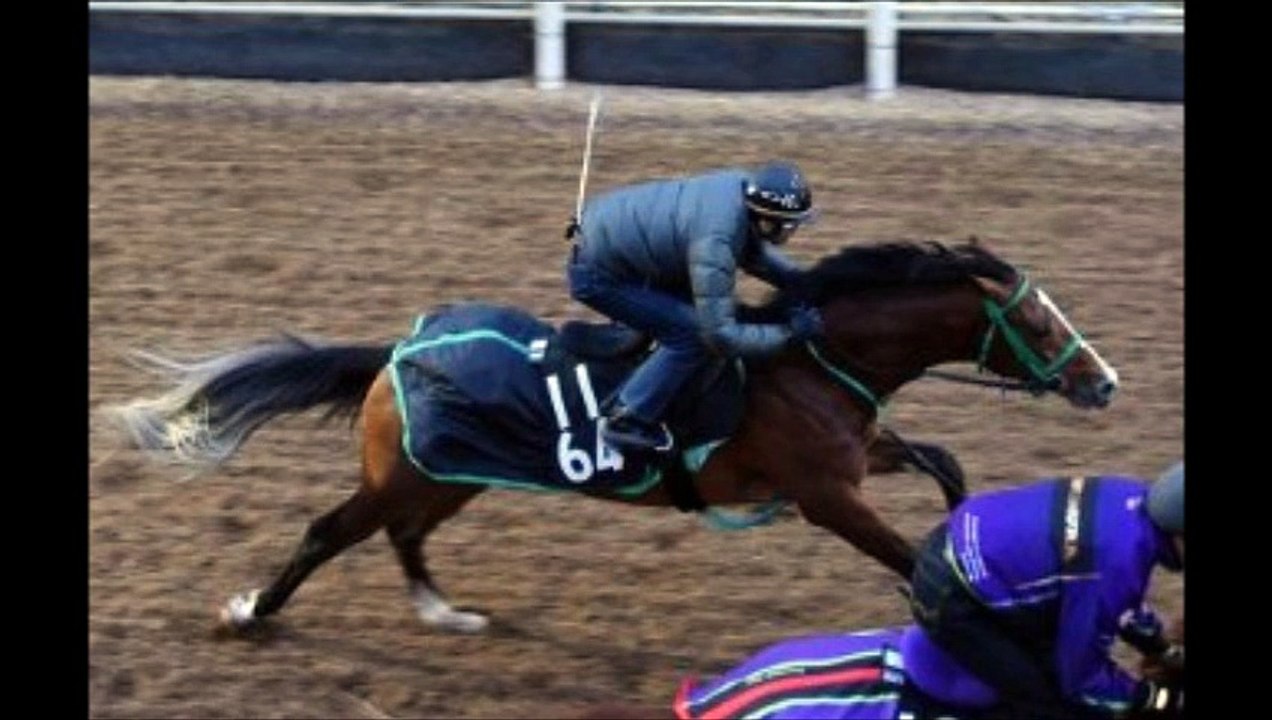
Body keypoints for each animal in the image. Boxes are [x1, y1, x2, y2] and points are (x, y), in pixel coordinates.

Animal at [104, 238, 1119, 633]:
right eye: (1037, 323)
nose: (1102, 381)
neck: (806, 360)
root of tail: (394, 350)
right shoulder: (826, 496)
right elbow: (902, 550)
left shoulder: (851, 457)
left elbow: (944, 464)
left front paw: (972, 540)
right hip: (413, 474)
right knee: (328, 532)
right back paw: (251, 613)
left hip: (451, 476)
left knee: (403, 536)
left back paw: (444, 610)